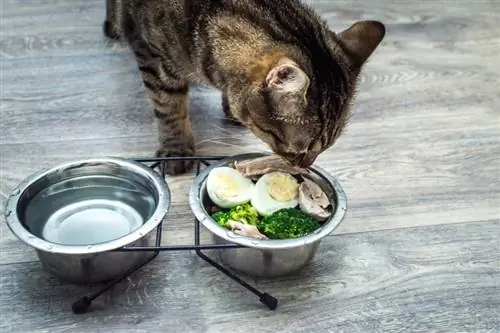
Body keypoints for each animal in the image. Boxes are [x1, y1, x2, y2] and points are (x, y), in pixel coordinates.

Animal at [103, 0, 384, 175]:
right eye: (298, 149)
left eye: (326, 147)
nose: (304, 166)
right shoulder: (154, 59)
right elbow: (169, 108)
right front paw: (177, 149)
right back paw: (112, 26)